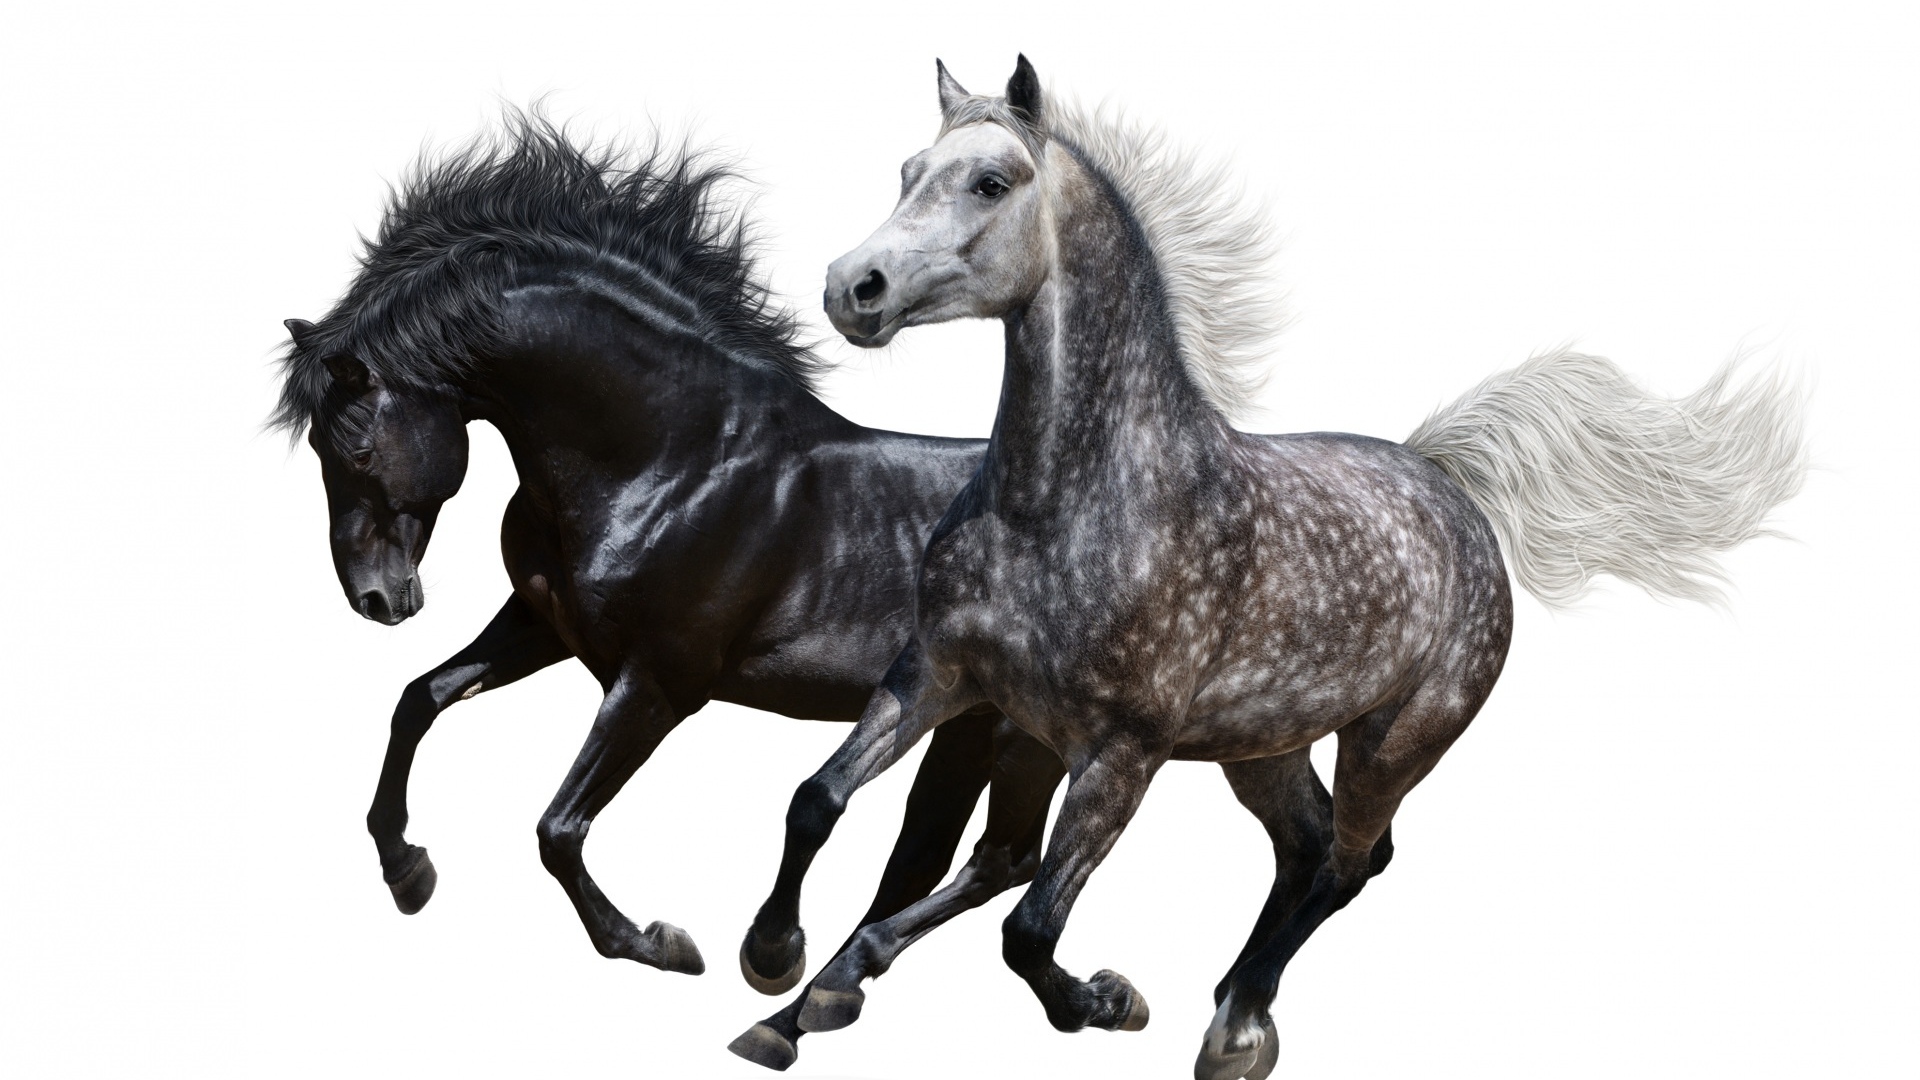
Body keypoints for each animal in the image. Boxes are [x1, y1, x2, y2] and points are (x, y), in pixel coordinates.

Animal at [271, 113, 1065, 987]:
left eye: (357, 450)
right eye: (318, 448)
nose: (377, 599)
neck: (671, 463)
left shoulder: (659, 682)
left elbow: (557, 829)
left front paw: (658, 944)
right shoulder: (545, 626)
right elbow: (420, 699)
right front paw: (406, 871)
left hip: (1018, 735)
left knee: (995, 859)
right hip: (969, 727)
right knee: (948, 857)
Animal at [730, 58, 1807, 1079]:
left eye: (990, 181)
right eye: (908, 172)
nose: (852, 288)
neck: (1067, 501)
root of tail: (1447, 483)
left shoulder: (1121, 753)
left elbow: (1028, 930)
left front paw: (1112, 1001)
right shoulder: (941, 675)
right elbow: (820, 800)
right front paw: (779, 968)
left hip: (1394, 742)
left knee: (1350, 860)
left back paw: (1235, 1024)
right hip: (1263, 747)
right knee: (1294, 848)